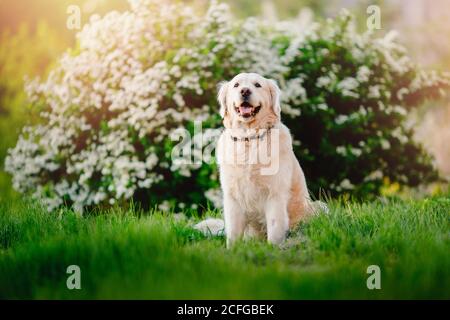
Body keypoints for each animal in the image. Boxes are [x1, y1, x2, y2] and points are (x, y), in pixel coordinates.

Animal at [194, 73, 326, 248]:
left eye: (257, 85)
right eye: (236, 85)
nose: (245, 91)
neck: (249, 138)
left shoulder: (275, 194)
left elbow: (275, 228)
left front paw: (274, 249)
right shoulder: (232, 197)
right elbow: (233, 234)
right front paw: (232, 251)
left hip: (320, 206)